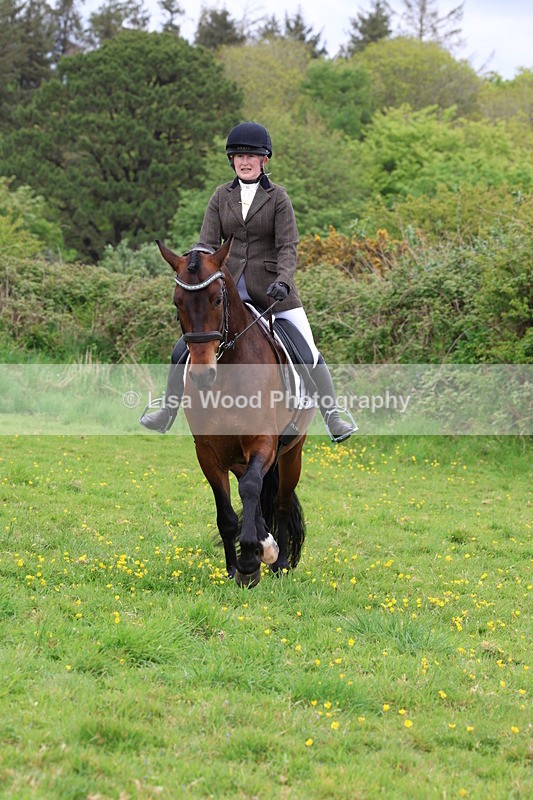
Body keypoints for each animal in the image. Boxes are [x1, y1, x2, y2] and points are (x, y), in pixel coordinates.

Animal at [156, 237, 315, 588]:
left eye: (217, 299)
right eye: (177, 303)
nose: (203, 375)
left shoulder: (263, 442)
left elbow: (255, 490)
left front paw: (252, 561)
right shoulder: (207, 451)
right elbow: (227, 514)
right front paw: (236, 567)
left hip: (291, 453)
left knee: (280, 502)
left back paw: (279, 562)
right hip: (238, 457)